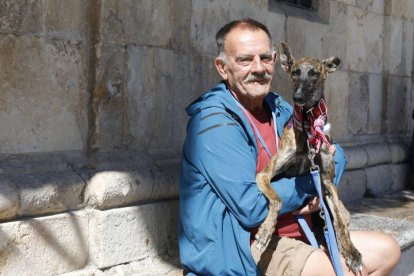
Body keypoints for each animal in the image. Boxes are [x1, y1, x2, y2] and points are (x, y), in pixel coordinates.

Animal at [254, 42, 364, 272]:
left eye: (314, 73)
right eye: (295, 72)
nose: (298, 97)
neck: (308, 128)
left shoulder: (327, 182)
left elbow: (339, 222)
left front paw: (351, 252)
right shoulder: (265, 174)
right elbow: (277, 200)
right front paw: (265, 231)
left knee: (339, 221)